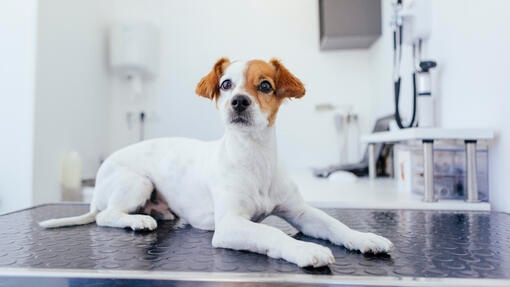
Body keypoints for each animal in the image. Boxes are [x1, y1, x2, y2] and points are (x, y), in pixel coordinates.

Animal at [39, 58, 394, 268]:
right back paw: (138, 221)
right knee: (106, 216)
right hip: (137, 182)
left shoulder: (301, 213)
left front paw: (365, 238)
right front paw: (304, 250)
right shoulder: (230, 225)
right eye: (226, 84)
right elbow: (271, 234)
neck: (253, 156)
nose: (239, 101)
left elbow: (335, 225)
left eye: (265, 85)